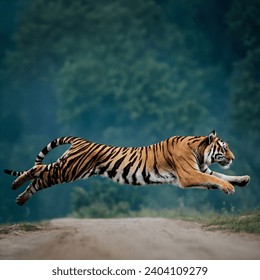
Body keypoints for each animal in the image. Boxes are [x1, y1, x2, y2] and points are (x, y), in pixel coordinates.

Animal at [3, 130, 249, 206]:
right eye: (224, 148)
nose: (234, 157)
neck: (199, 150)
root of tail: (80, 140)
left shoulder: (202, 172)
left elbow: (221, 176)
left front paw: (243, 179)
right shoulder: (189, 175)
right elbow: (218, 179)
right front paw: (229, 188)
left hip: (67, 169)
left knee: (40, 176)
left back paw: (20, 198)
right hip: (68, 170)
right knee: (37, 170)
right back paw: (15, 185)